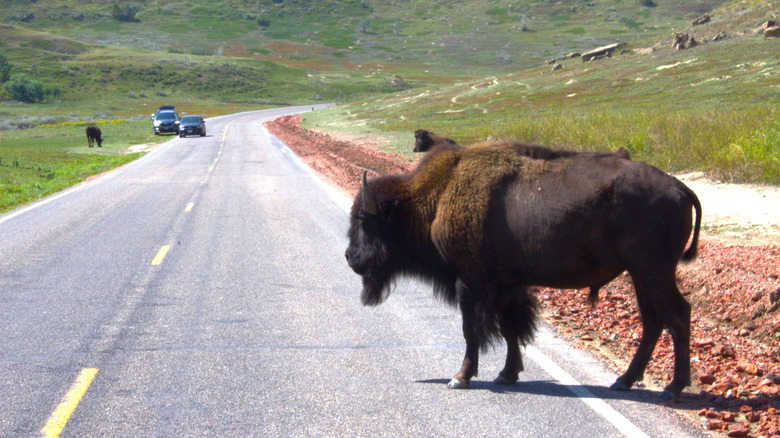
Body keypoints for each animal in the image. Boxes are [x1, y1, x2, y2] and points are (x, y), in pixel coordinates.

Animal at [346, 140, 700, 400]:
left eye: (364, 220)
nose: (350, 257)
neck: (438, 196)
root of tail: (679, 188)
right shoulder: (507, 285)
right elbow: (511, 328)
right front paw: (507, 374)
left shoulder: (469, 282)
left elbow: (472, 330)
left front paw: (460, 377)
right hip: (641, 276)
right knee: (654, 322)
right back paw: (624, 381)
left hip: (652, 273)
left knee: (678, 315)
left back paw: (672, 388)